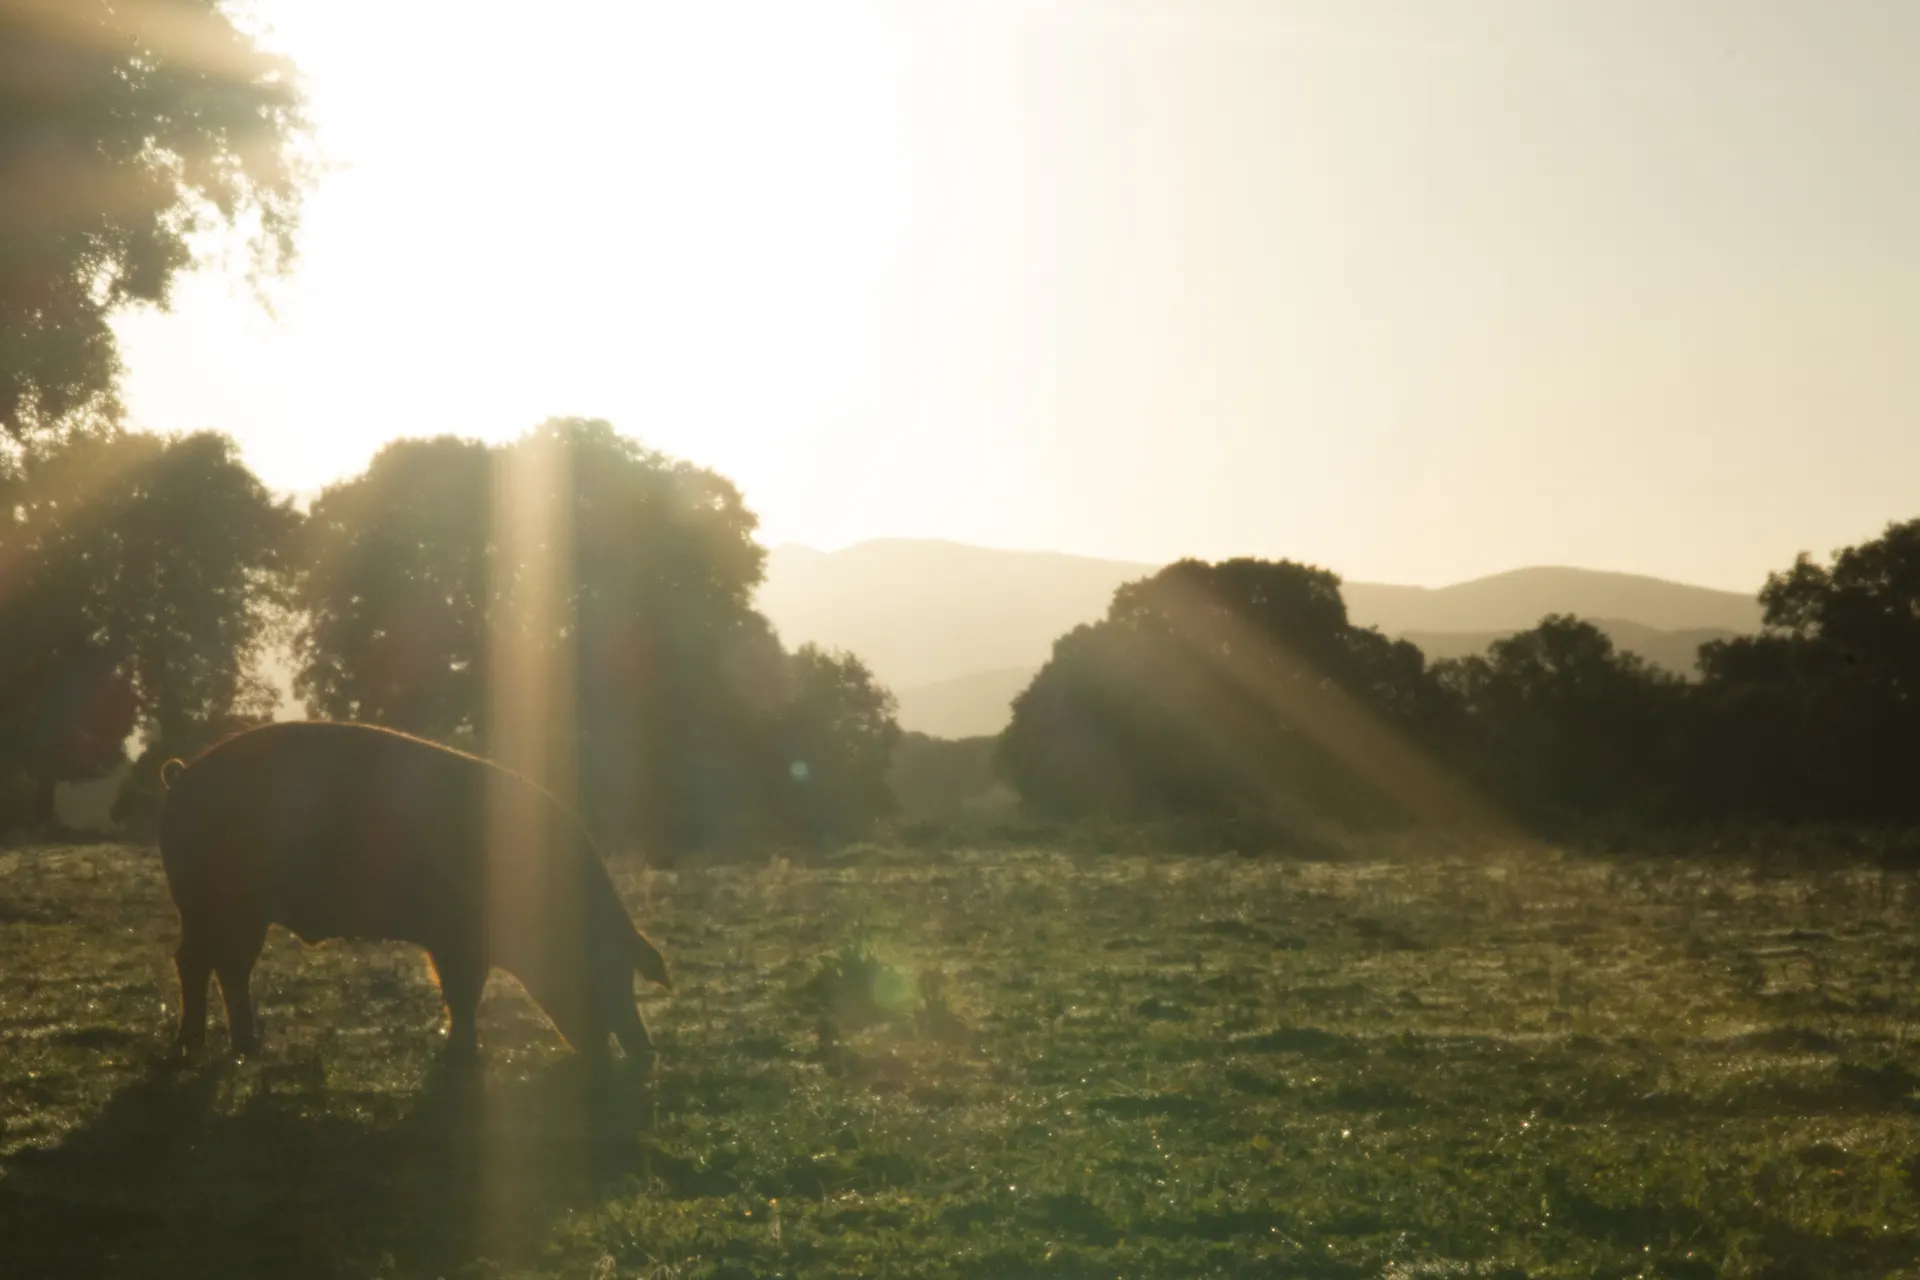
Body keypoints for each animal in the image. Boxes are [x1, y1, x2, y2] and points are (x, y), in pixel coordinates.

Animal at [157, 725, 672, 1066]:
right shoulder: (457, 940)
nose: (646, 1053)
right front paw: (465, 1056)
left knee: (200, 963)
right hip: (224, 905)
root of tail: (181, 777)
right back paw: (230, 1047)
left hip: (205, 908)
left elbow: (461, 994)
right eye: (611, 970)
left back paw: (214, 1046)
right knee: (213, 966)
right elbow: (463, 994)